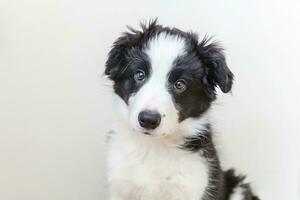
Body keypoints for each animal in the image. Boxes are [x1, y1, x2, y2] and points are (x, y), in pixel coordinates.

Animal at [103, 20, 258, 200]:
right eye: (139, 75)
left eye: (180, 84)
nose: (148, 120)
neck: (153, 146)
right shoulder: (120, 185)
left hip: (238, 187)